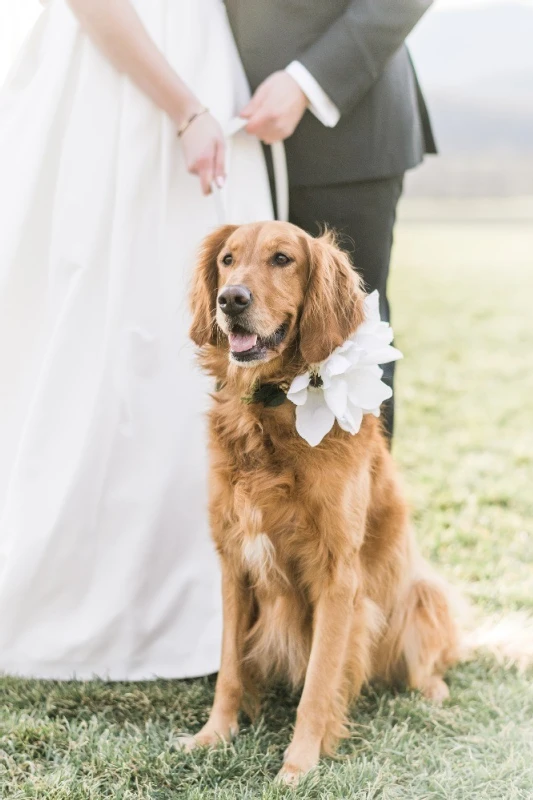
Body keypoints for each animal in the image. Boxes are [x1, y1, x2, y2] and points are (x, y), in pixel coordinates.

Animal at [182, 222, 458, 784]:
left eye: (282, 259)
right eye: (226, 260)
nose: (230, 299)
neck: (271, 414)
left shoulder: (338, 579)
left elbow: (318, 683)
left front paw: (298, 765)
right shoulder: (234, 564)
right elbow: (230, 669)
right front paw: (215, 734)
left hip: (424, 594)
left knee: (425, 660)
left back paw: (433, 689)